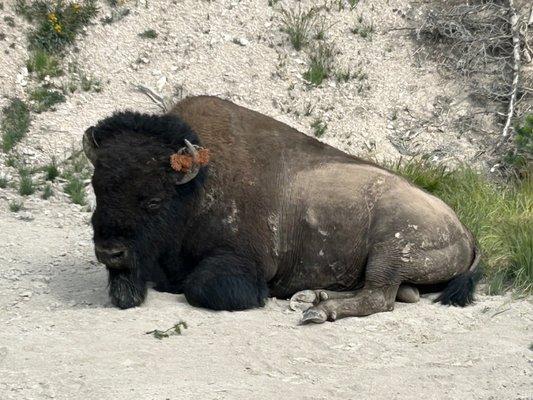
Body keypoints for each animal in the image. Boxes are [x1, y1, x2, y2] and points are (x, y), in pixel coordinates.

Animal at [82, 95, 478, 324]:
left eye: (153, 199)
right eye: (97, 188)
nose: (110, 251)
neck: (195, 187)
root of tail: (464, 230)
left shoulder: (244, 262)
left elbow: (200, 287)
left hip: (391, 250)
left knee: (379, 296)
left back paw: (319, 309)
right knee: (391, 292)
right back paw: (313, 296)